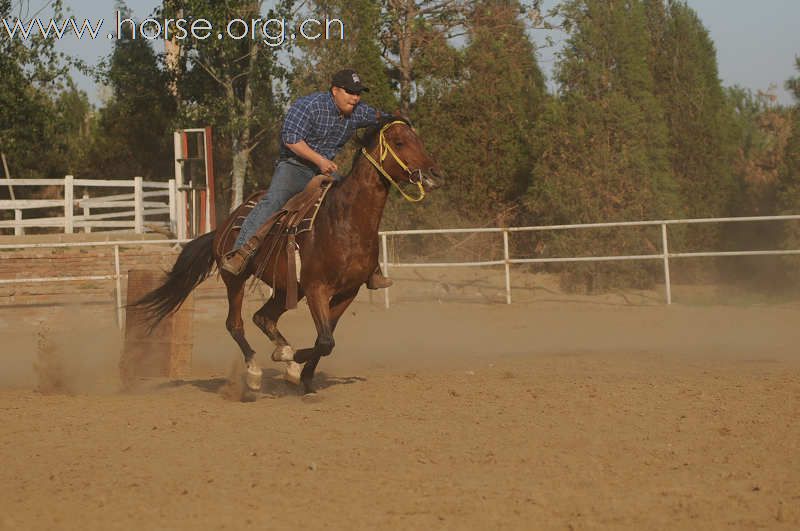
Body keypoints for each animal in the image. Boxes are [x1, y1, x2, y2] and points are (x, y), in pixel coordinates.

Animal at [134, 118, 440, 396]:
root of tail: (223, 226)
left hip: (287, 288)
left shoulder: (347, 292)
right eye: (399, 142)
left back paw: (286, 361)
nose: (434, 174)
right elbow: (325, 341)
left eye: (418, 138)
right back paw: (255, 372)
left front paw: (302, 376)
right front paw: (287, 359)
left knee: (263, 318)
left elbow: (324, 339)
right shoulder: (317, 288)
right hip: (236, 280)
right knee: (235, 324)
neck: (345, 220)